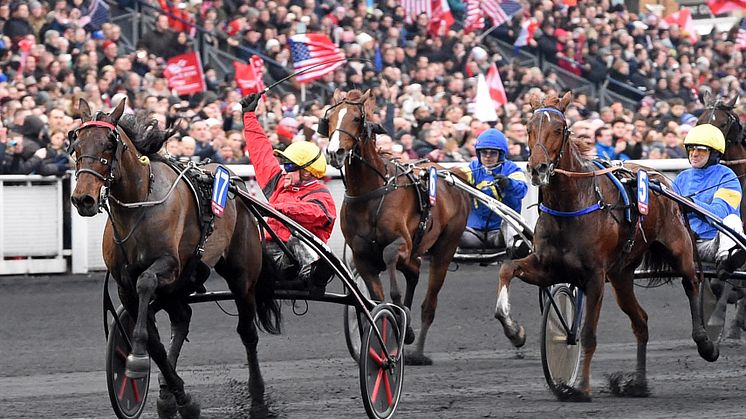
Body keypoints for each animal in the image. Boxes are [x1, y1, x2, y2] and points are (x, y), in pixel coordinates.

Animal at [69, 100, 280, 418]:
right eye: (76, 143)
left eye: (108, 143)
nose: (83, 199)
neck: (139, 205)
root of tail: (235, 183)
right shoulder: (125, 285)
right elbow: (154, 342)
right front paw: (179, 396)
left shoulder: (167, 266)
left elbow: (146, 285)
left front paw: (137, 358)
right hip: (183, 281)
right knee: (182, 318)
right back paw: (170, 396)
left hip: (240, 274)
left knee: (247, 332)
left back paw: (257, 400)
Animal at [322, 88, 468, 364]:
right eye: (330, 117)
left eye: (356, 117)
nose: (335, 152)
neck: (370, 194)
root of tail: (452, 174)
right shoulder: (362, 258)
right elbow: (377, 299)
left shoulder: (399, 244)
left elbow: (393, 281)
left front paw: (402, 325)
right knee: (414, 270)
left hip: (445, 249)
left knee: (429, 303)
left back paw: (418, 351)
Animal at [492, 92, 716, 404]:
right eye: (528, 128)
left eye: (559, 129)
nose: (537, 169)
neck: (572, 205)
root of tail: (660, 179)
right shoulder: (547, 267)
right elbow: (507, 268)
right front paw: (514, 330)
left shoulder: (594, 277)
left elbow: (587, 334)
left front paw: (581, 387)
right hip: (621, 276)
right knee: (641, 321)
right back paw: (638, 383)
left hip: (678, 248)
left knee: (692, 281)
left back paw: (705, 343)